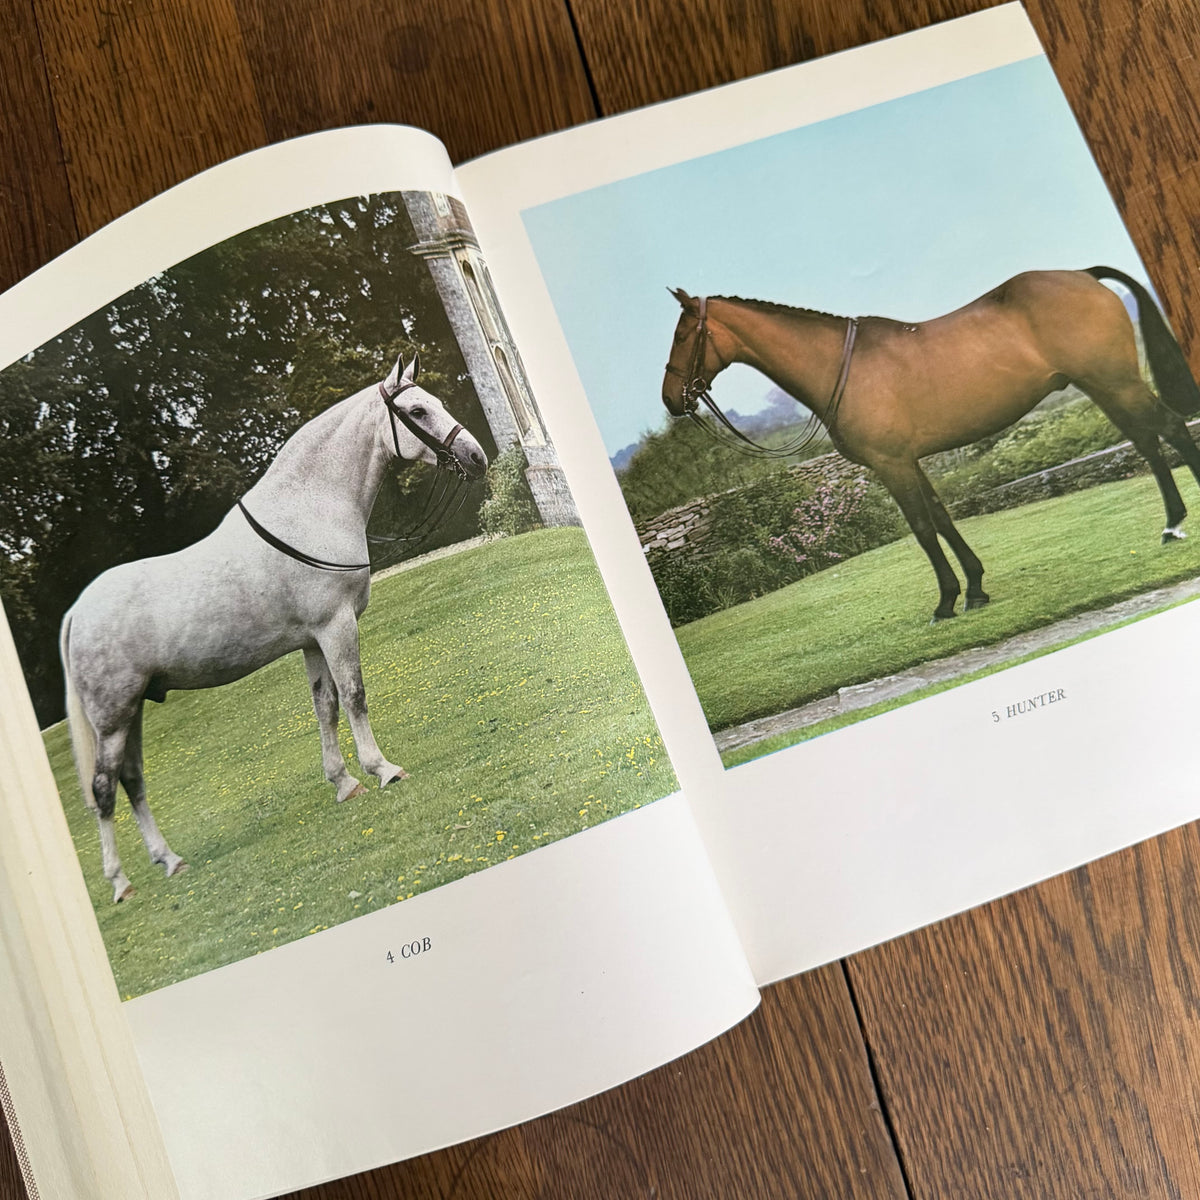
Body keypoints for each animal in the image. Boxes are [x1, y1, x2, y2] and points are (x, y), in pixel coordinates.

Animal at [60, 352, 488, 902]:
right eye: (417, 410)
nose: (476, 457)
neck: (307, 511)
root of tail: (78, 611)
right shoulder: (336, 627)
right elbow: (354, 696)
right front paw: (383, 770)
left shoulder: (313, 640)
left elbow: (325, 707)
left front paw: (344, 783)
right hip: (113, 717)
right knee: (104, 789)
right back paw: (120, 883)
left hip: (131, 710)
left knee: (132, 781)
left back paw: (170, 860)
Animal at [661, 267, 1200, 622]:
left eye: (684, 334)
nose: (670, 399)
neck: (841, 365)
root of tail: (1083, 276)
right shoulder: (909, 461)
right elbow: (942, 517)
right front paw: (976, 589)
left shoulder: (891, 464)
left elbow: (922, 528)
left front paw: (945, 602)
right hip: (1102, 386)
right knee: (1148, 442)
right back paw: (1170, 523)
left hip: (1116, 382)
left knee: (1171, 429)